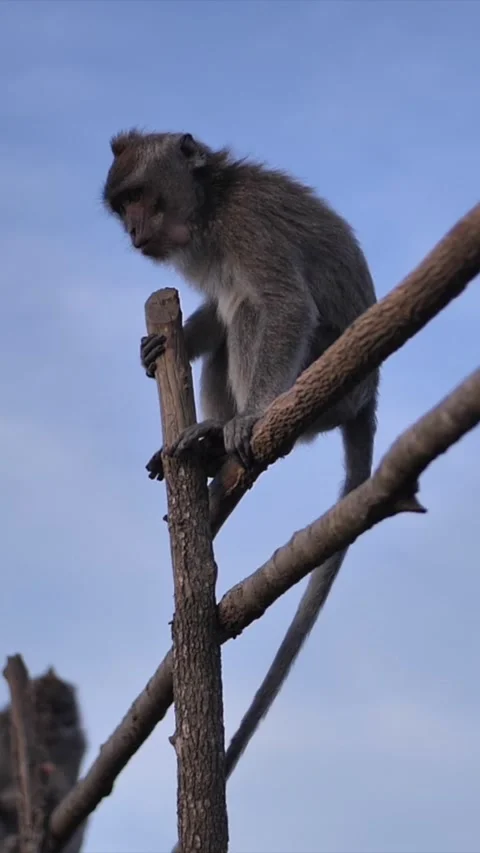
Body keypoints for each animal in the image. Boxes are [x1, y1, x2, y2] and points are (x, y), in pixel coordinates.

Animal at [103, 129, 379, 776]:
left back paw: (225, 431)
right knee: (230, 322)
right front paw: (163, 343)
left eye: (139, 197)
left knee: (253, 311)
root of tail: (366, 399)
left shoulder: (248, 225)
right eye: (122, 207)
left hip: (325, 382)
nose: (134, 231)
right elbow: (214, 310)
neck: (211, 204)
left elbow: (282, 305)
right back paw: (207, 447)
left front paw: (248, 418)